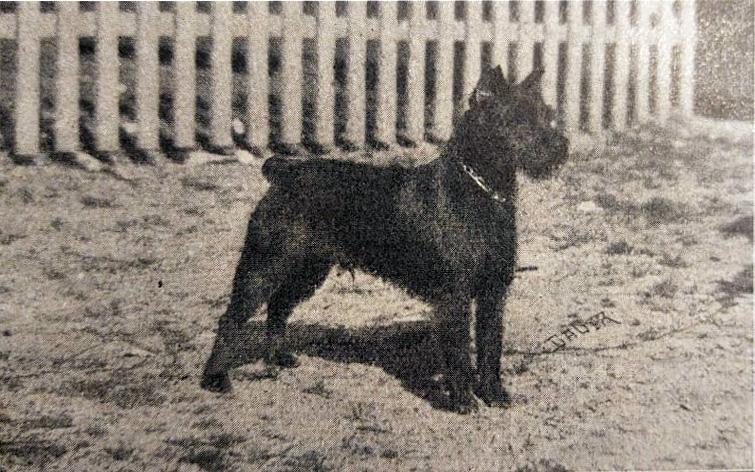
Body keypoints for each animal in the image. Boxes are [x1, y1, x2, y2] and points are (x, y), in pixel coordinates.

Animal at [201, 65, 569, 413]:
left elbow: (491, 350)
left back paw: (279, 358)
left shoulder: (493, 294)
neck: (480, 188)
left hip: (308, 270)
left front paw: (494, 394)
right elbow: (460, 353)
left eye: (547, 113)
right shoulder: (455, 297)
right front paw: (463, 400)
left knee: (278, 307)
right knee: (232, 319)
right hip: (264, 267)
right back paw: (216, 378)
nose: (560, 146)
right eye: (516, 119)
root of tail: (283, 173)